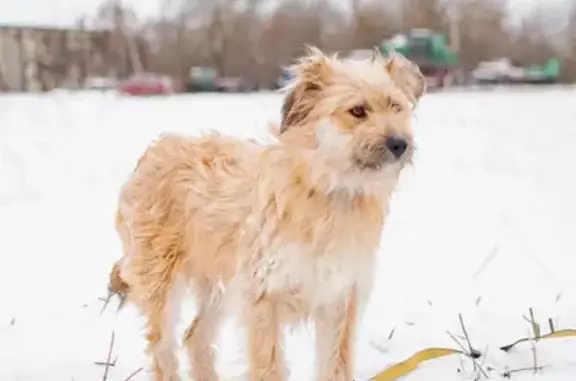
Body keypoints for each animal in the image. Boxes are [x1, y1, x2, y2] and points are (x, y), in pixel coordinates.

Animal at [108, 47, 426, 380]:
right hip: (163, 283)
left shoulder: (340, 297)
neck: (328, 188)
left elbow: (336, 365)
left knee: (196, 336)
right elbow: (268, 366)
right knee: (163, 347)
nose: (399, 144)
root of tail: (151, 155)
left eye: (395, 106)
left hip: (219, 286)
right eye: (358, 111)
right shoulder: (263, 298)